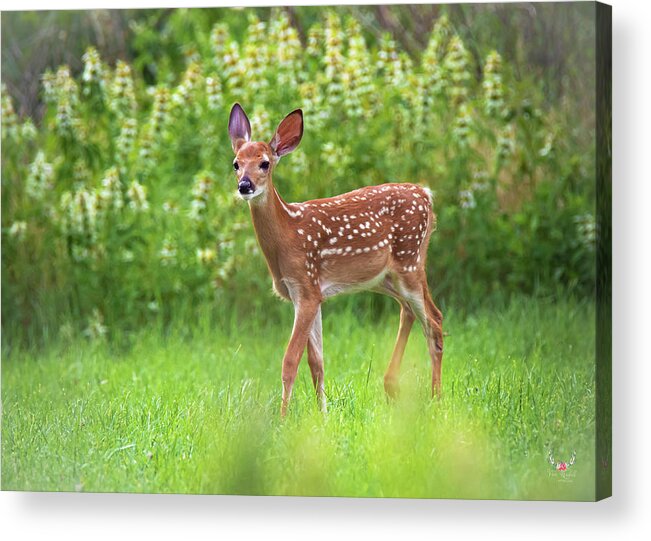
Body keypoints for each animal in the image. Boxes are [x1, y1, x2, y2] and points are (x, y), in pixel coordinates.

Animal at [227, 102, 446, 414]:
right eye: (236, 163)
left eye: (265, 163)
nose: (244, 185)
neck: (287, 235)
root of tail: (426, 194)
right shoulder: (309, 294)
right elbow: (316, 362)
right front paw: (323, 412)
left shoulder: (306, 287)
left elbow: (290, 361)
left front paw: (282, 417)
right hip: (388, 277)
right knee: (413, 312)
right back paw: (393, 386)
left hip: (410, 260)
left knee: (435, 323)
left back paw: (436, 399)